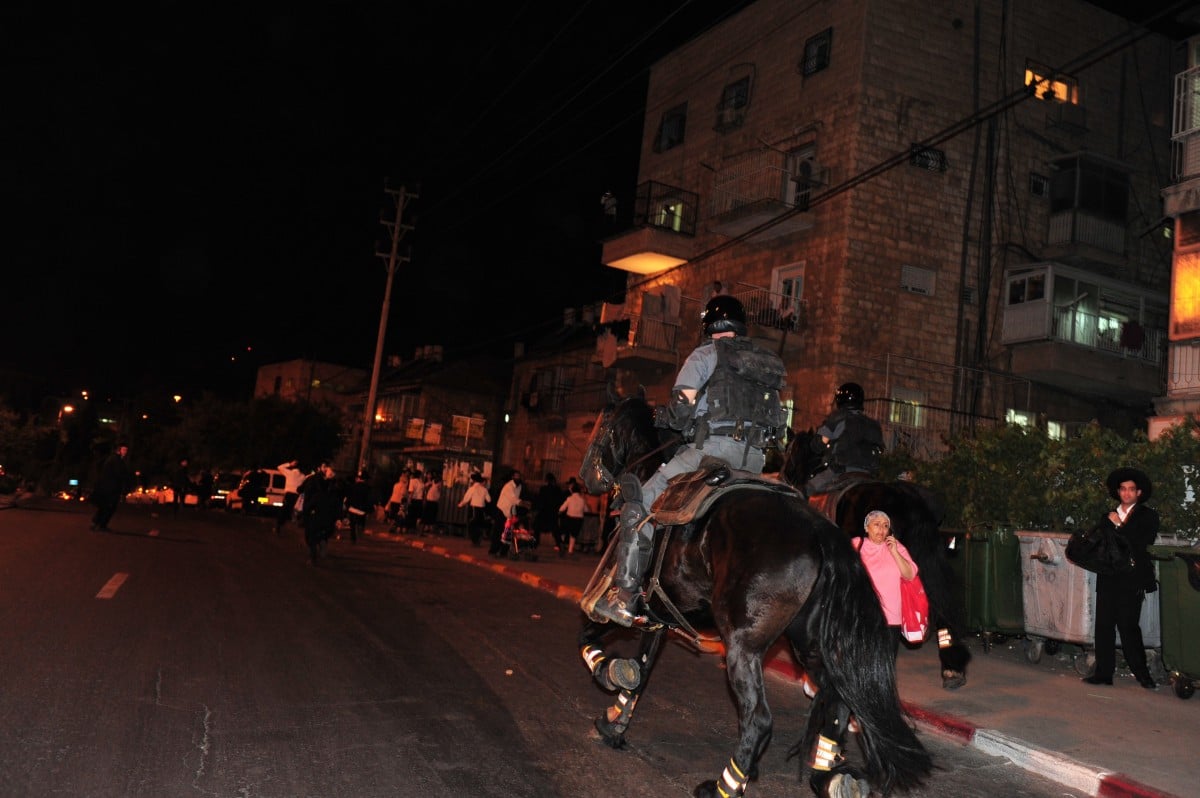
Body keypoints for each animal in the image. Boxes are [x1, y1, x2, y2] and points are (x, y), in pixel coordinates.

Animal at [576, 396, 931, 796]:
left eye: (601, 426)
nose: (587, 477)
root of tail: (820, 531)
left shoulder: (643, 611)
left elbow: (590, 635)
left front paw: (608, 674)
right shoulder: (661, 615)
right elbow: (643, 669)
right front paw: (615, 720)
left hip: (743, 646)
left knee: (759, 717)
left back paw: (725, 784)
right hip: (809, 644)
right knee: (837, 701)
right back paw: (830, 776)